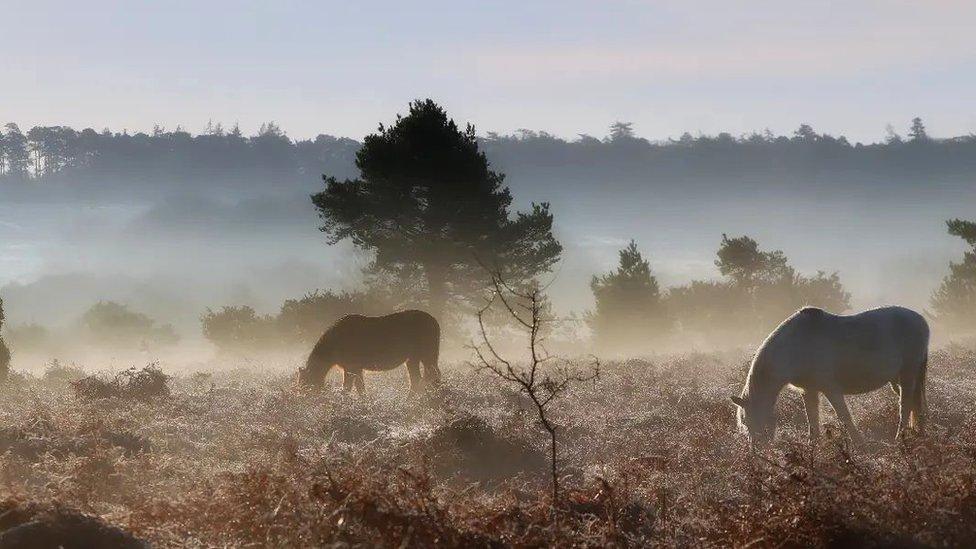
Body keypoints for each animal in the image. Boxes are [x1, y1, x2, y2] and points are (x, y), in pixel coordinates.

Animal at [298, 308, 442, 394]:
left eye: (305, 385)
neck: (335, 342)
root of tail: (434, 321)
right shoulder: (356, 369)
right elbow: (360, 389)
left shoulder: (351, 368)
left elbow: (347, 388)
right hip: (413, 359)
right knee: (418, 379)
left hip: (427, 355)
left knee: (432, 374)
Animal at [732, 304, 932, 446]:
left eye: (750, 421)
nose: (757, 450)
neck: (796, 346)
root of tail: (921, 321)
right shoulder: (809, 391)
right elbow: (812, 421)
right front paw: (812, 447)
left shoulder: (830, 389)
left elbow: (844, 416)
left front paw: (860, 444)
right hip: (897, 380)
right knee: (914, 404)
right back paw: (918, 434)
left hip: (908, 375)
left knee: (905, 405)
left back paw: (900, 437)